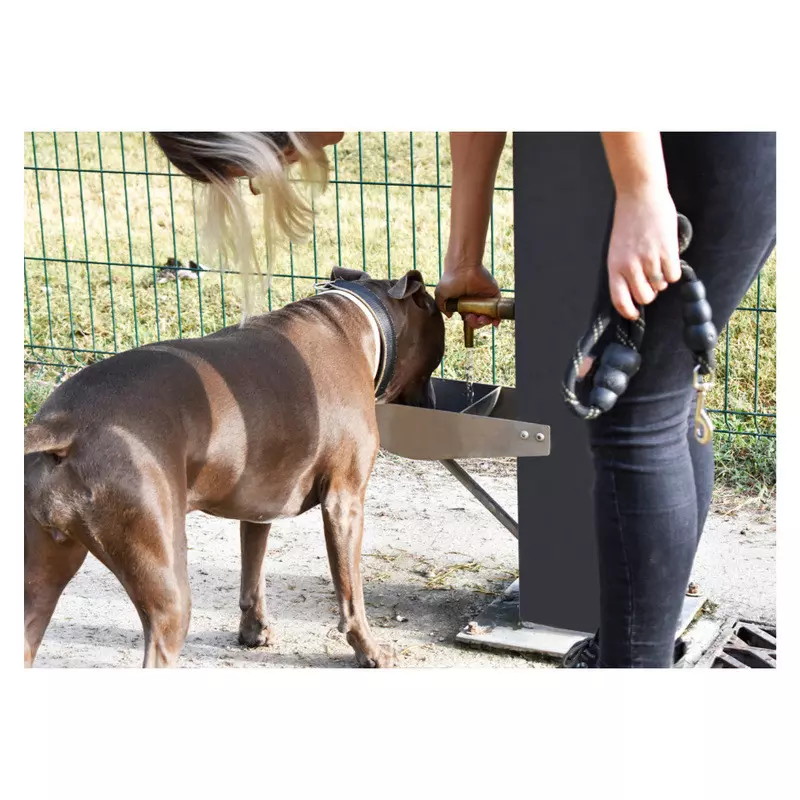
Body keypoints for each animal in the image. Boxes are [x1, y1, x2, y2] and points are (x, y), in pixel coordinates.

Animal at [23, 268, 444, 668]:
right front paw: (369, 650)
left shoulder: (259, 507)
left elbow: (252, 574)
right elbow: (351, 594)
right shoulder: (345, 502)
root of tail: (62, 424)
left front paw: (253, 631)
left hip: (40, 578)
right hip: (164, 582)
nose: (435, 404)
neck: (357, 320)